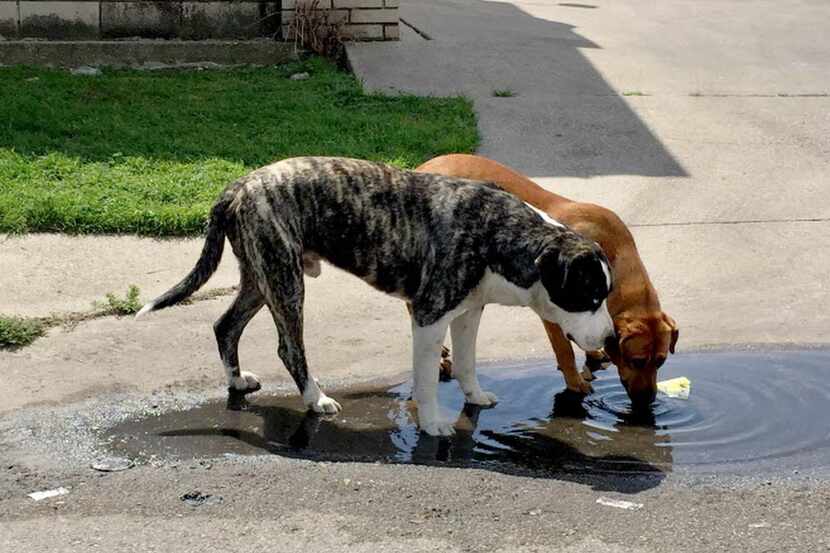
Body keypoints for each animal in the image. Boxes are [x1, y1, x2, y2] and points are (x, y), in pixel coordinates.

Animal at [420, 153, 680, 404]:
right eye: (637, 361)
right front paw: (575, 383)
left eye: (660, 361)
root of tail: (423, 166)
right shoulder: (553, 311)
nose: (648, 401)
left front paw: (593, 351)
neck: (616, 251)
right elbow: (565, 350)